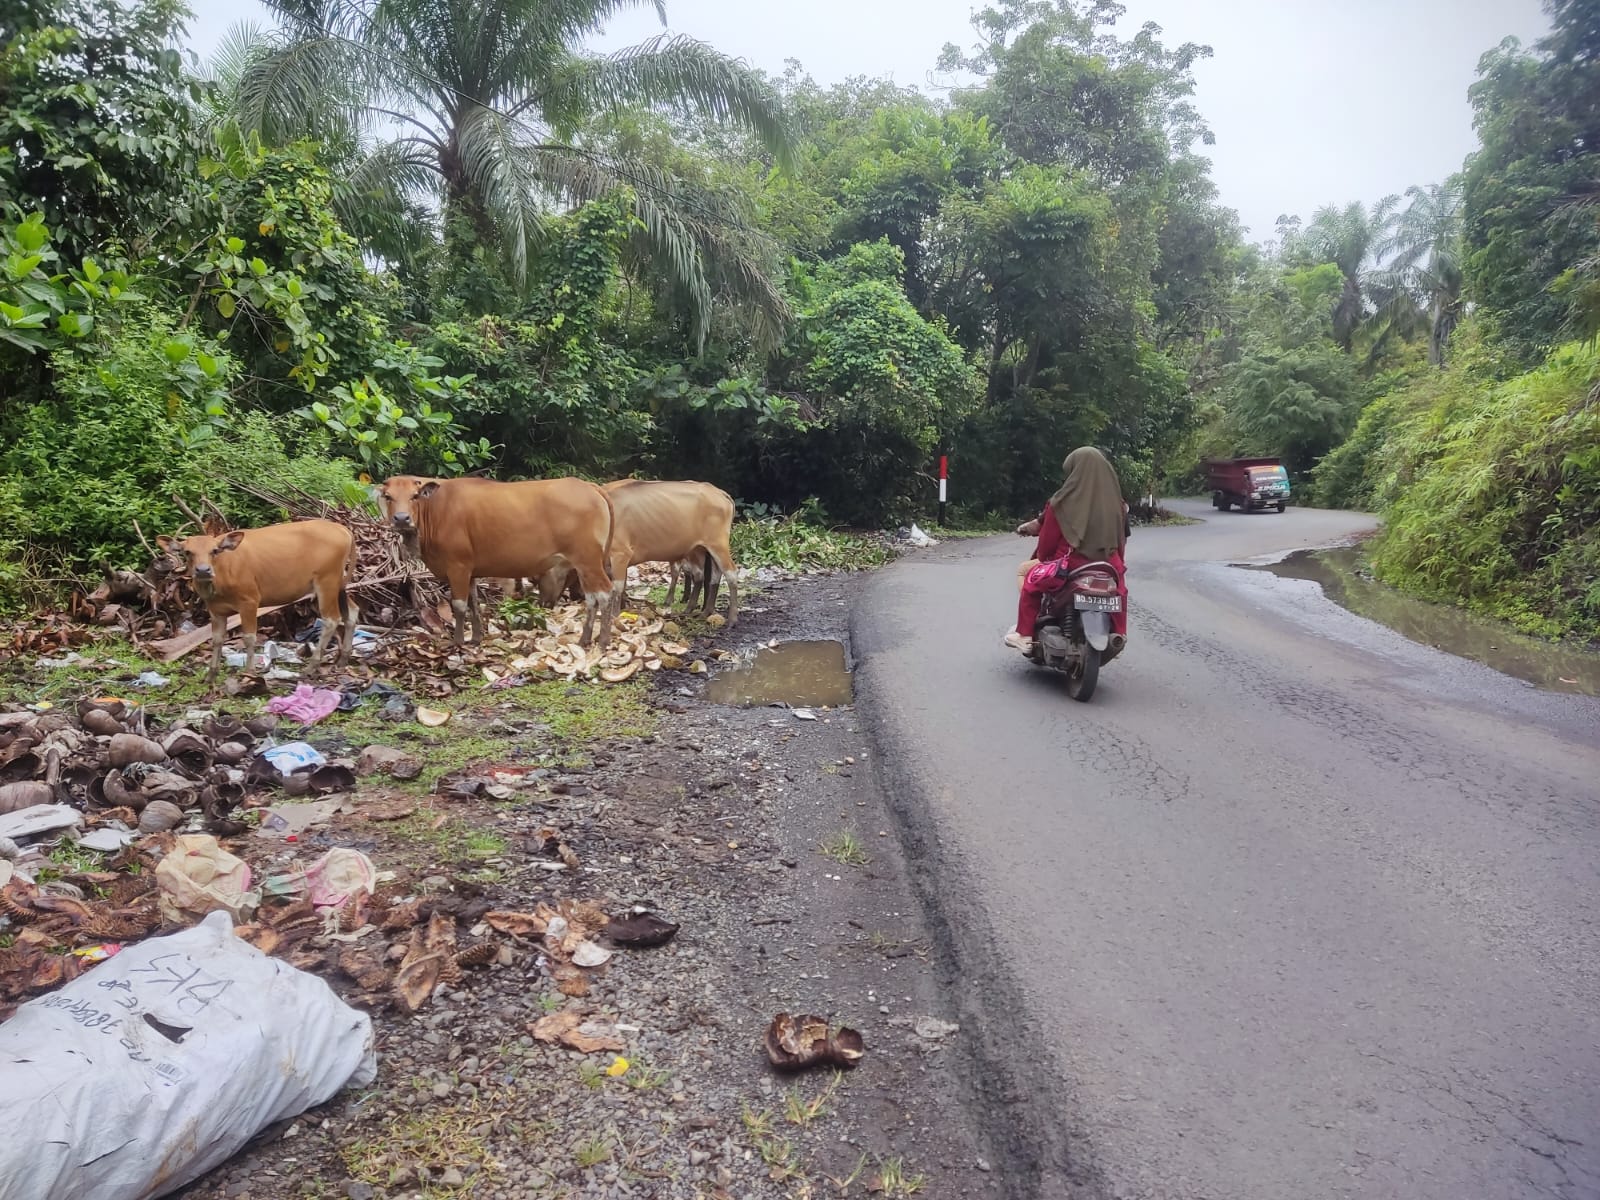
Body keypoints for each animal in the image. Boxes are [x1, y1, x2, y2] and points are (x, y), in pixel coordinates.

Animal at [156, 521, 356, 691]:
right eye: (187, 552)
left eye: (215, 550)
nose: (203, 570)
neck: (223, 574)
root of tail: (342, 529)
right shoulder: (215, 610)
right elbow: (217, 639)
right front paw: (211, 675)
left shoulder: (250, 602)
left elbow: (250, 638)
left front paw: (249, 674)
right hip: (338, 583)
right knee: (352, 612)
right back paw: (343, 659)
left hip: (326, 581)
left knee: (331, 620)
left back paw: (311, 667)